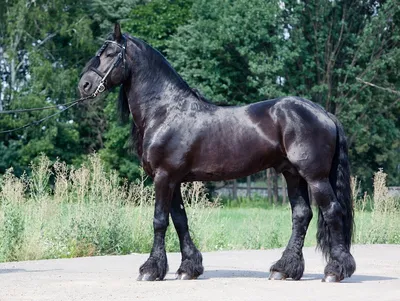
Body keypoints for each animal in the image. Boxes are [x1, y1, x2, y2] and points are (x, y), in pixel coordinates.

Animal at [79, 24, 356, 282]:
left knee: (332, 211)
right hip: (292, 174)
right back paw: (284, 268)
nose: (84, 85)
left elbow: (160, 220)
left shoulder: (163, 177)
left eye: (110, 53)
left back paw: (335, 270)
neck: (165, 111)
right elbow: (180, 219)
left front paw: (150, 270)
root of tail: (324, 113)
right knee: (301, 215)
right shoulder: (174, 180)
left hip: (315, 177)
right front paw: (189, 268)